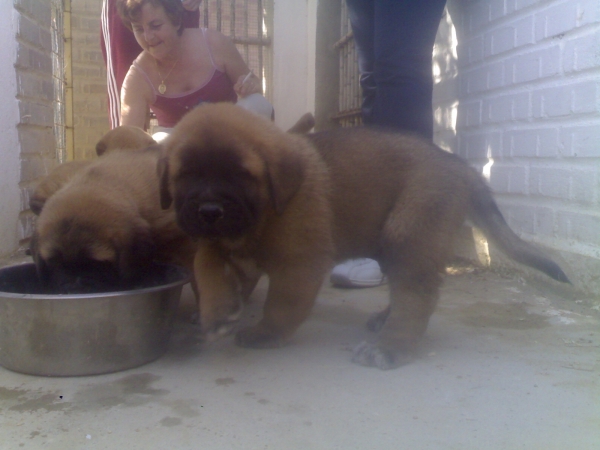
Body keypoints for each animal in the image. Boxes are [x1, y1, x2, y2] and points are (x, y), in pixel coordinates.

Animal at [157, 104, 568, 370]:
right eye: (185, 176)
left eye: (241, 176)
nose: (210, 212)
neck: (263, 213)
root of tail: (460, 167)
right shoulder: (220, 244)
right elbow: (206, 264)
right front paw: (217, 312)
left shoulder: (300, 263)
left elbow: (282, 304)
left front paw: (266, 333)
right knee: (412, 289)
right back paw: (386, 322)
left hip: (407, 232)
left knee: (417, 295)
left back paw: (391, 347)